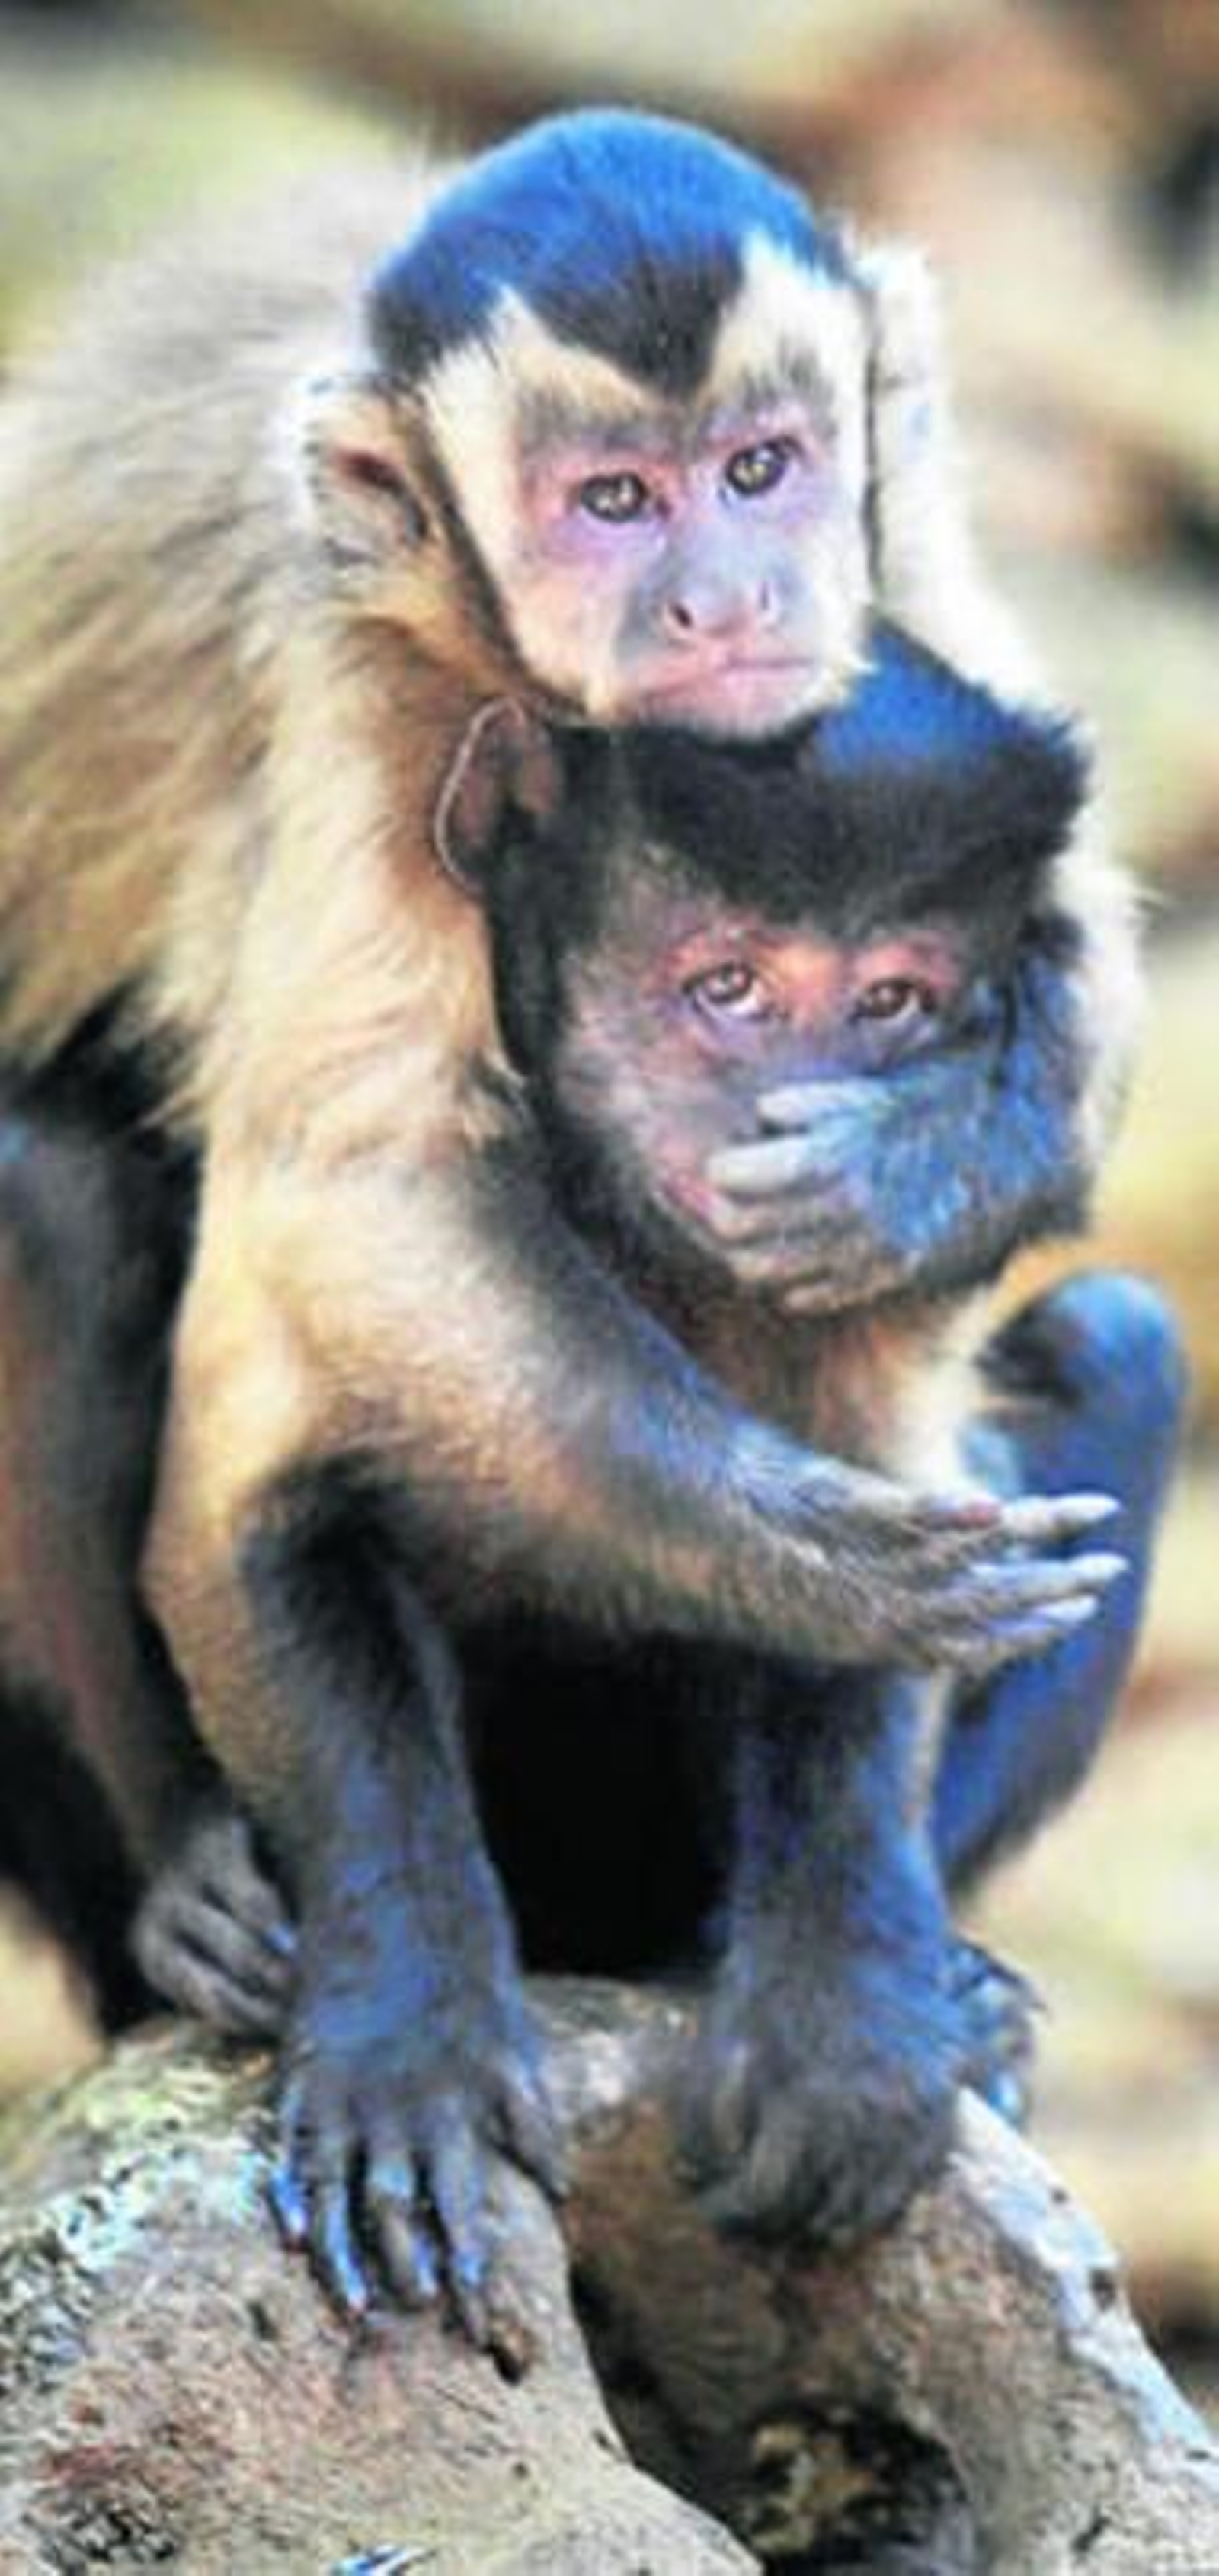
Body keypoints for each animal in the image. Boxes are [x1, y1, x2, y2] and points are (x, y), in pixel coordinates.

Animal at [0, 113, 1147, 2317]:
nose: (721, 593)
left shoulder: (897, 523)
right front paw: (779, 1549)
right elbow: (349, 1221)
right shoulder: (363, 675)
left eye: (763, 467)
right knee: (62, 1209)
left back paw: (931, 1983)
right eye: (610, 502)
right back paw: (193, 1893)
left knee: (1119, 1339)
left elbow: (1087, 978)